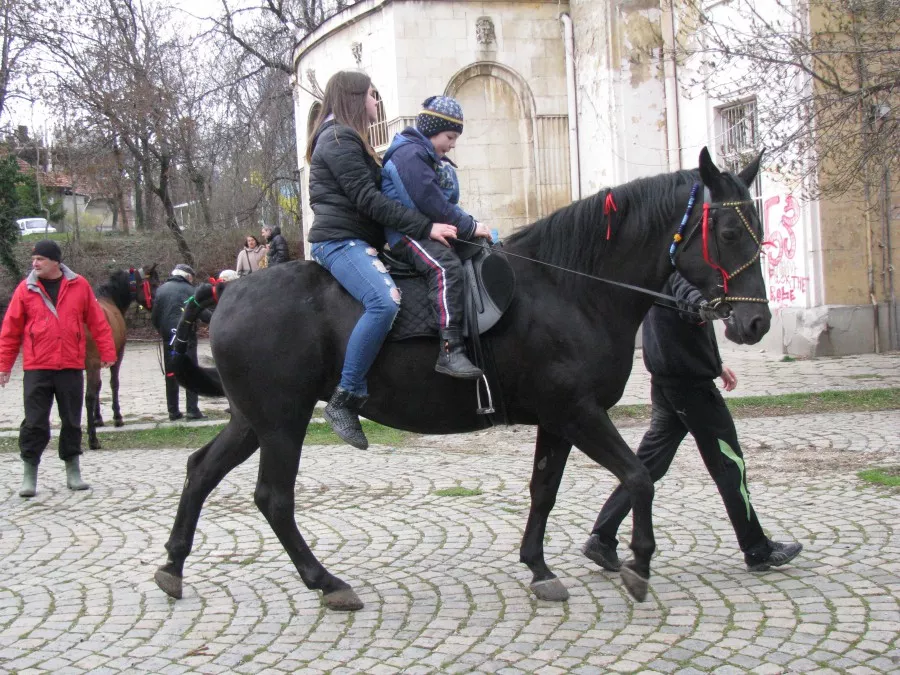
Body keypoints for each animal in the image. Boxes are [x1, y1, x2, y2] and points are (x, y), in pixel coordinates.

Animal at [85, 266, 159, 452]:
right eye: (154, 284)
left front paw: (98, 418)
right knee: (88, 396)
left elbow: (99, 387)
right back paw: (93, 439)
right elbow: (113, 384)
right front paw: (117, 417)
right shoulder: (117, 356)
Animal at [153, 149, 768, 612]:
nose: (755, 322)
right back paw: (325, 581)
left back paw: (174, 564)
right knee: (274, 498)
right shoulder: (578, 412)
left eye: (758, 229)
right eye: (728, 230)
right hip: (284, 421)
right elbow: (639, 477)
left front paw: (539, 567)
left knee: (200, 471)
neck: (571, 289)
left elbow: (544, 490)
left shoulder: (558, 418)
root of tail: (228, 290)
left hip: (253, 419)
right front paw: (639, 561)